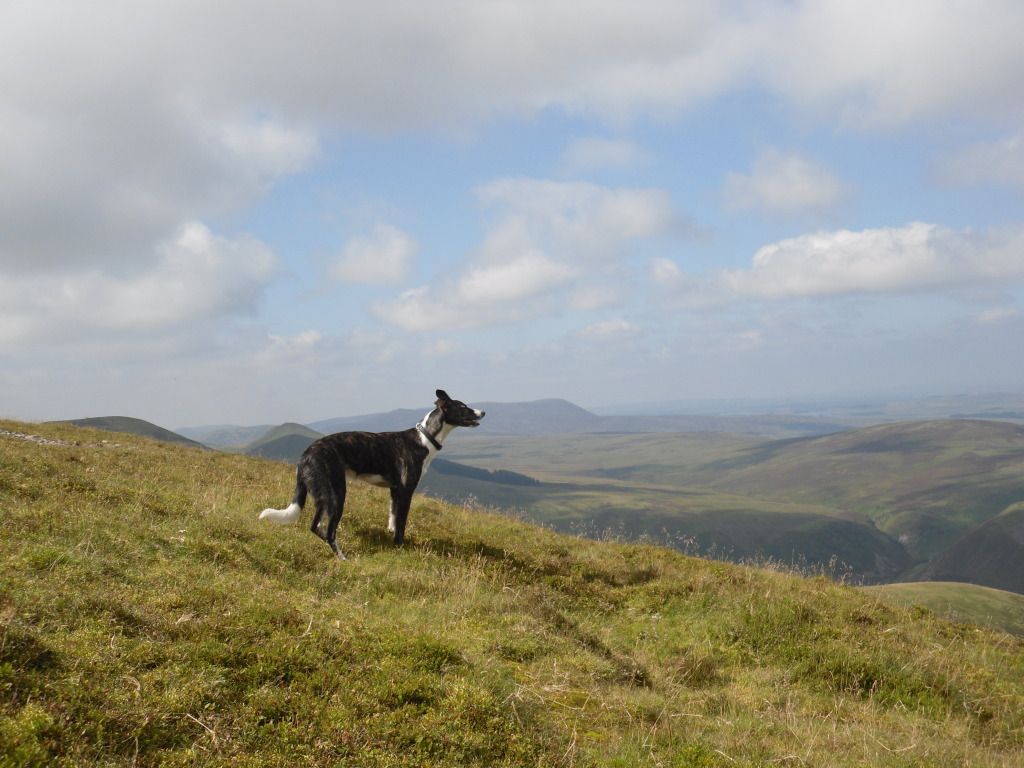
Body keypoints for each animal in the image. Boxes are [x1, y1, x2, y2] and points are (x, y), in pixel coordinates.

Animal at [253, 391, 481, 561]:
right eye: (463, 407)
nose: (483, 412)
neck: (425, 437)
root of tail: (306, 455)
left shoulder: (395, 491)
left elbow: (392, 519)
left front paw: (392, 540)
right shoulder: (406, 492)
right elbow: (401, 525)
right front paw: (400, 547)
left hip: (323, 495)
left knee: (315, 526)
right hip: (337, 495)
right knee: (329, 531)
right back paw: (343, 558)